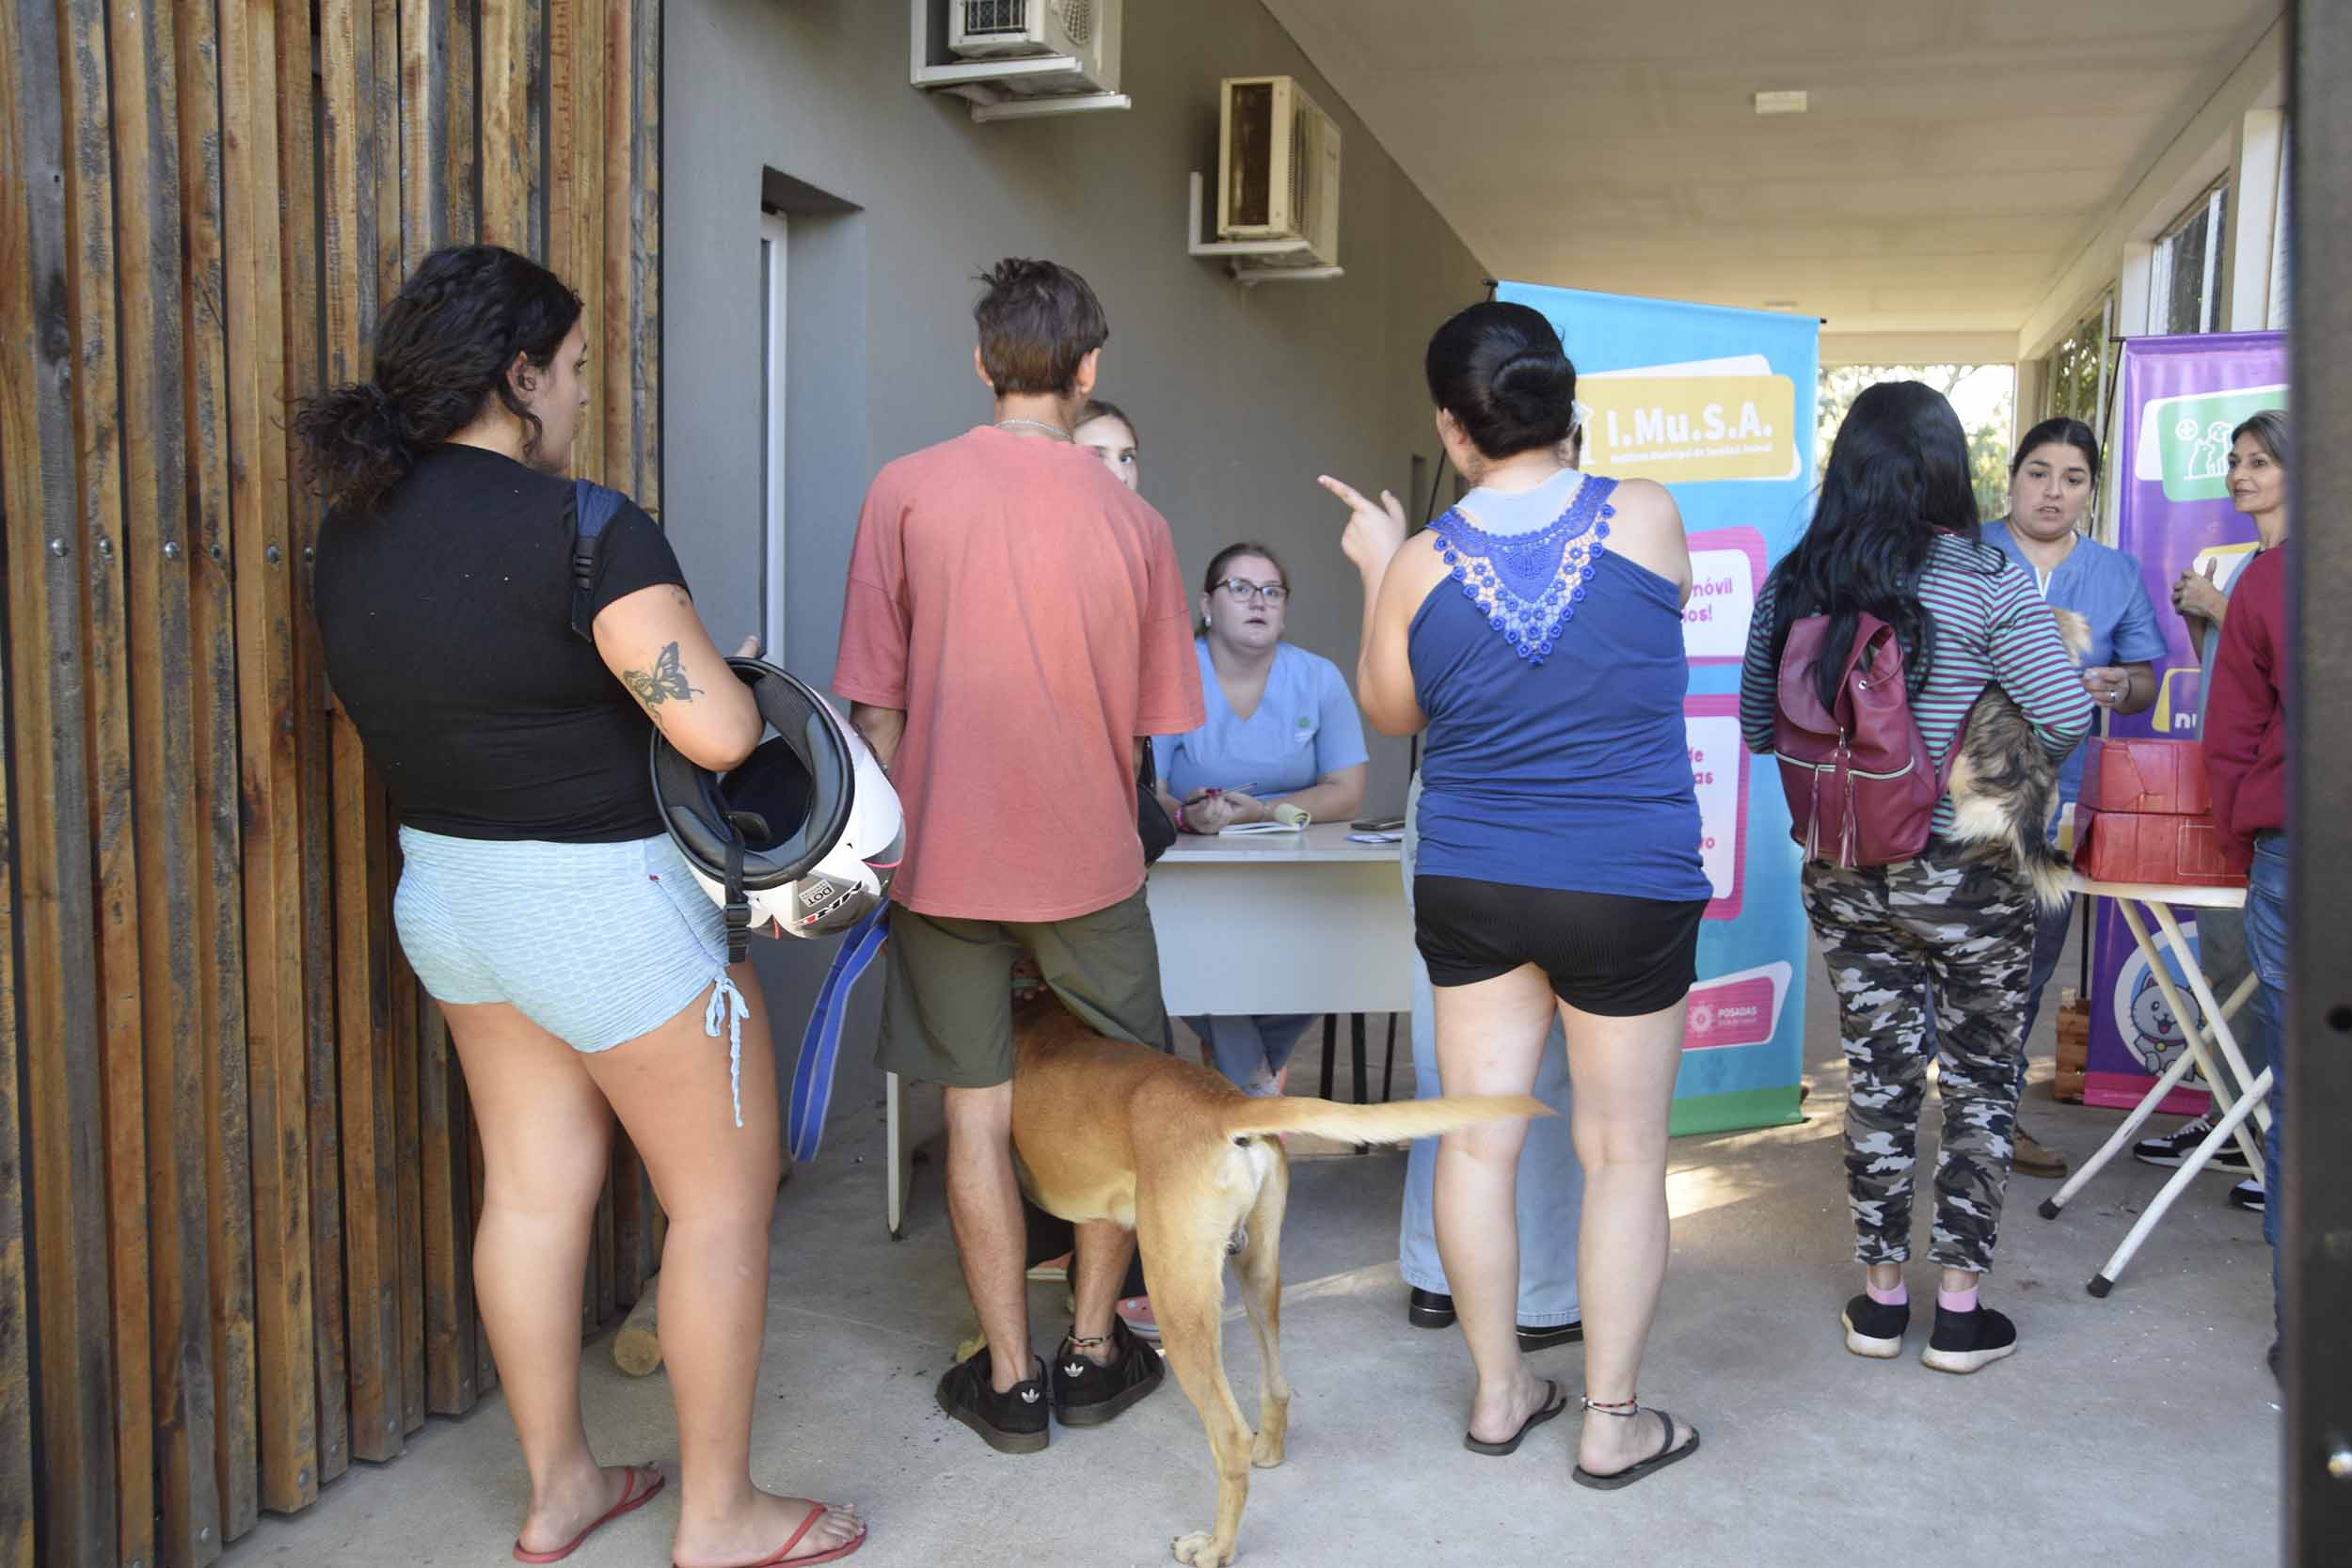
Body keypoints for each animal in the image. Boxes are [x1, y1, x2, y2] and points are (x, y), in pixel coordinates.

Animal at [972, 987, 1546, 1567]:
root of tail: (1224, 1104)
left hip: (1180, 1298)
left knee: (1228, 1438)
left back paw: (1215, 1546)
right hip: (1259, 1274)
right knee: (1278, 1386)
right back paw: (1268, 1449)